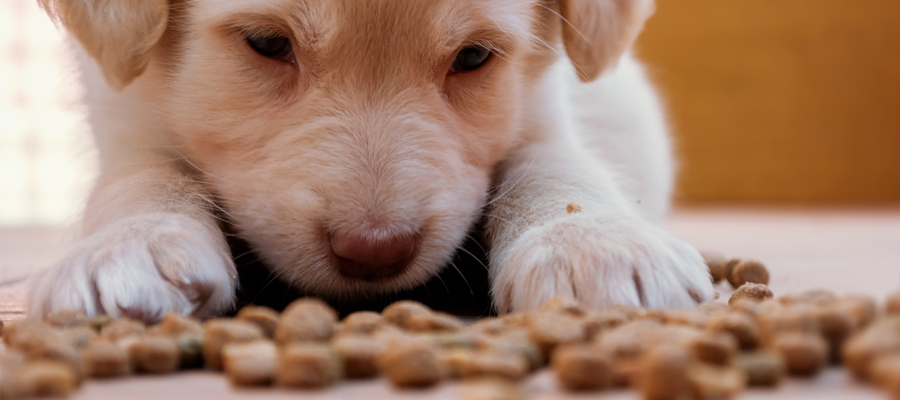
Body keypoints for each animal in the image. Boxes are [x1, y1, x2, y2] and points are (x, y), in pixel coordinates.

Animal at [28, 0, 712, 320]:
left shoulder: (543, 113)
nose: (375, 252)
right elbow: (142, 176)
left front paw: (593, 242)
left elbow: (555, 166)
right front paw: (130, 244)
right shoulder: (125, 118)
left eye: (473, 57)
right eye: (267, 43)